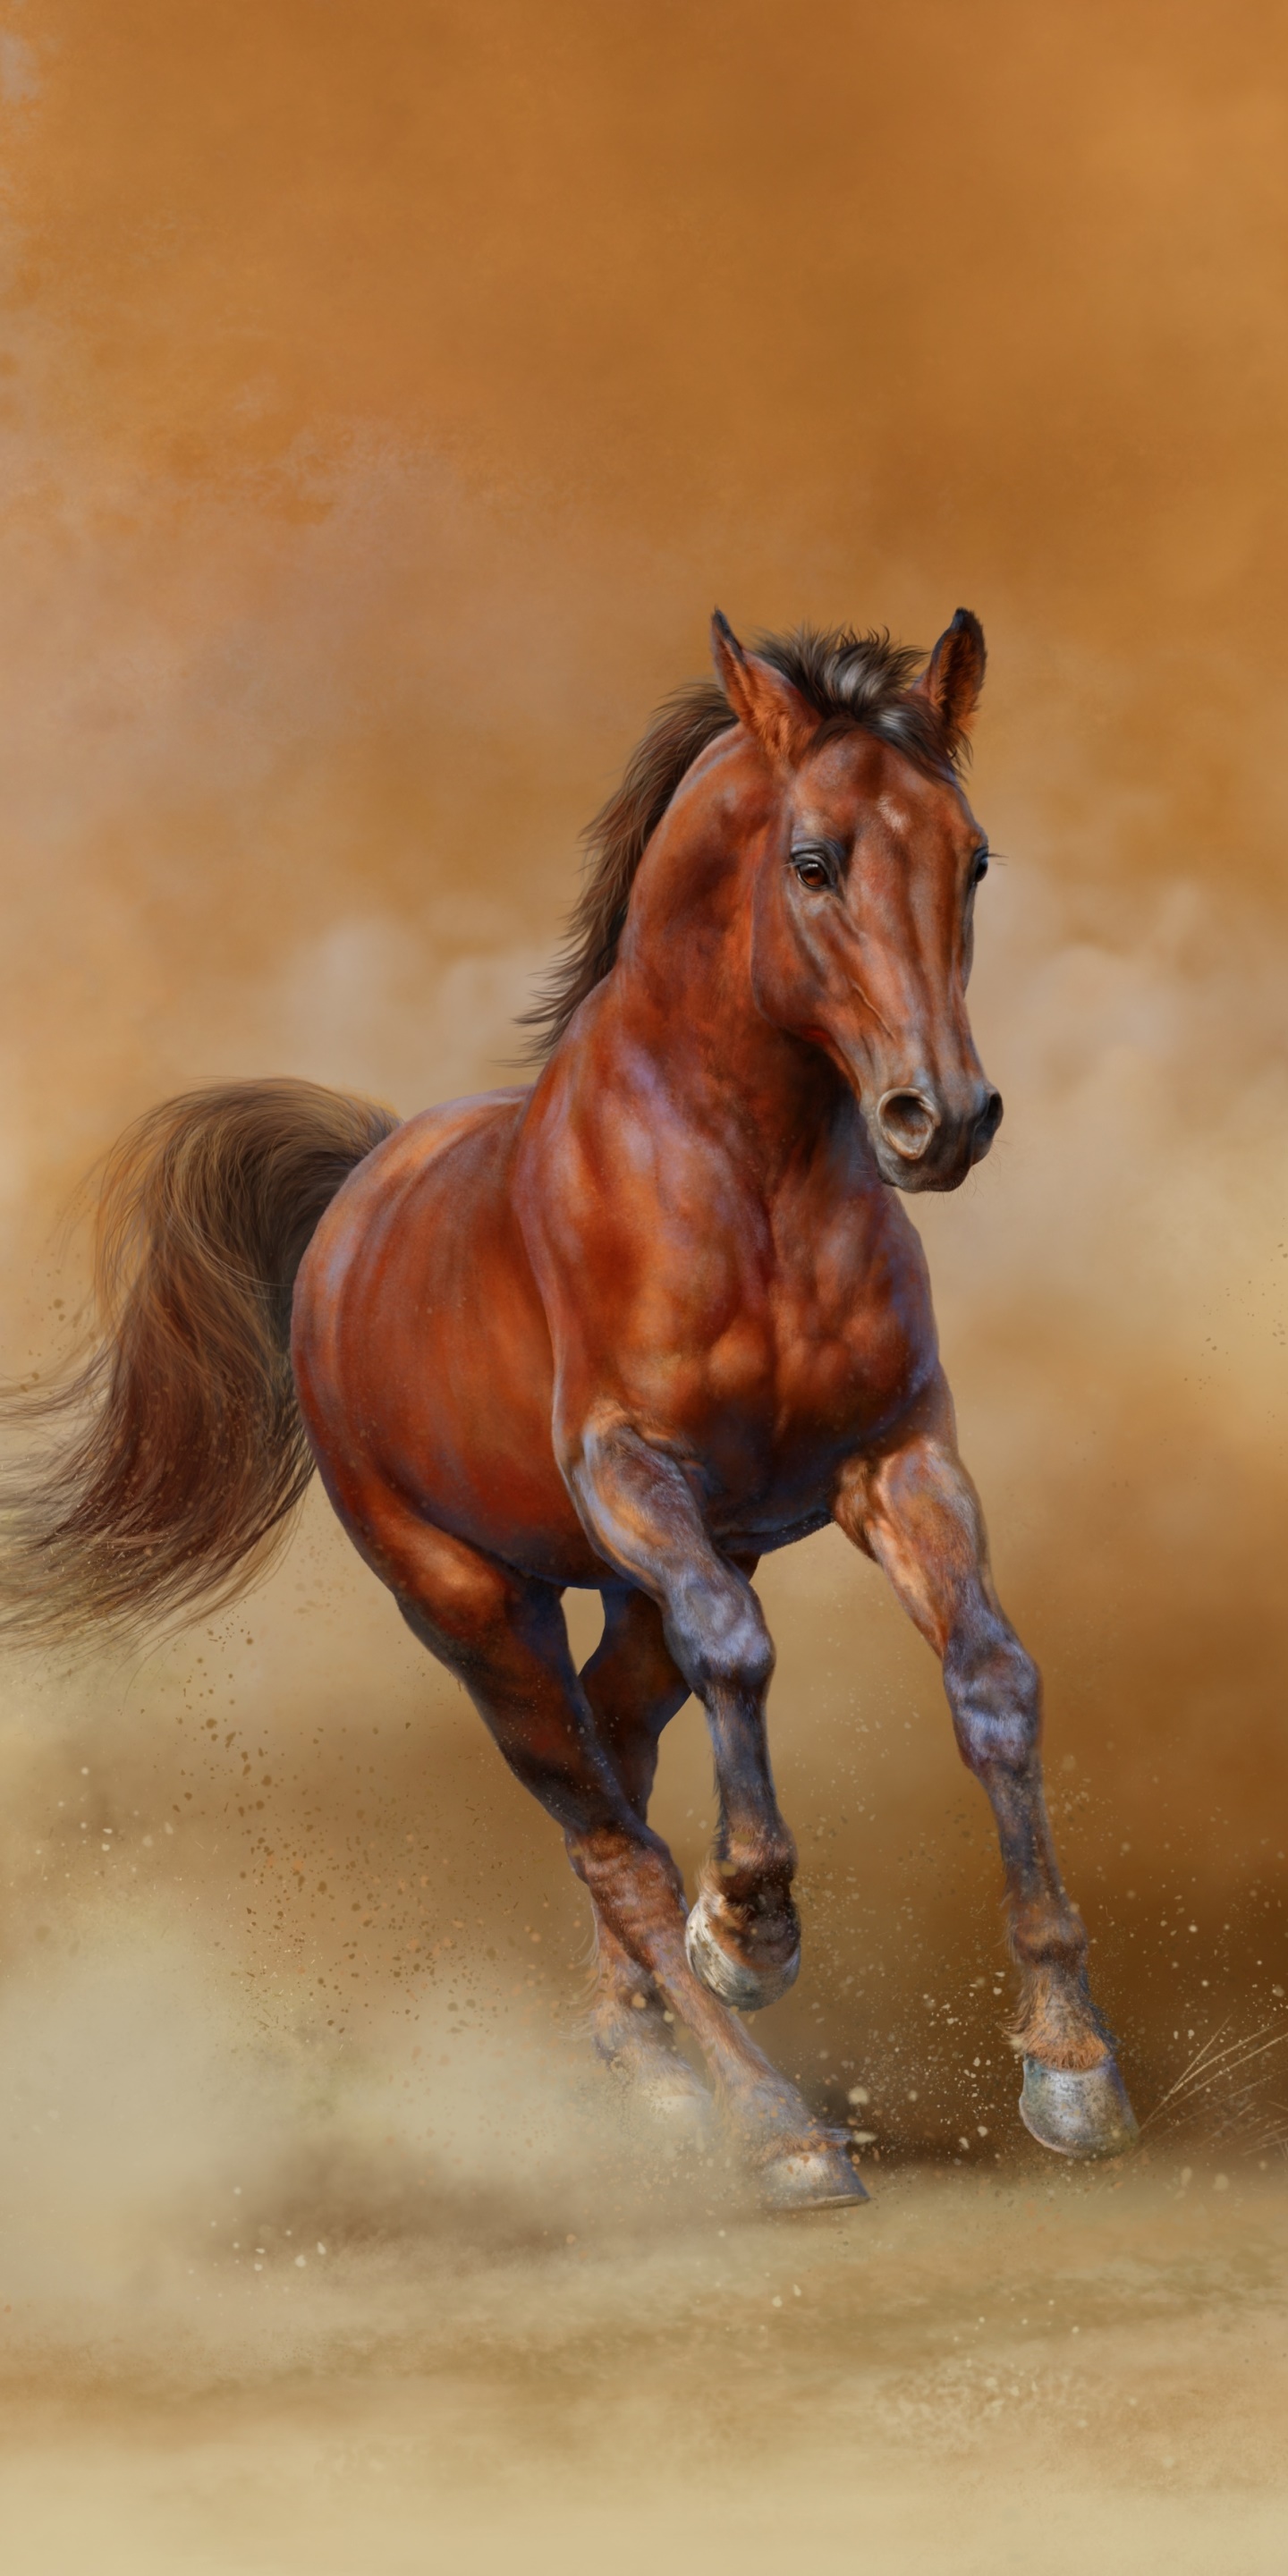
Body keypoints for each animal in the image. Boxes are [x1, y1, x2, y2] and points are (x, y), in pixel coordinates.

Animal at [0, 609, 1138, 2210]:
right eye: (814, 860)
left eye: (971, 858)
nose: (943, 1120)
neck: (751, 1178)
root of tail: (354, 1202)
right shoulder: (633, 1475)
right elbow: (743, 1661)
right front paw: (753, 1929)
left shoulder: (899, 1462)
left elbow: (992, 1680)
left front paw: (1071, 2066)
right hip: (476, 1607)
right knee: (611, 1833)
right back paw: (770, 2122)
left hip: (622, 1597)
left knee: (628, 1752)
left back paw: (648, 2059)